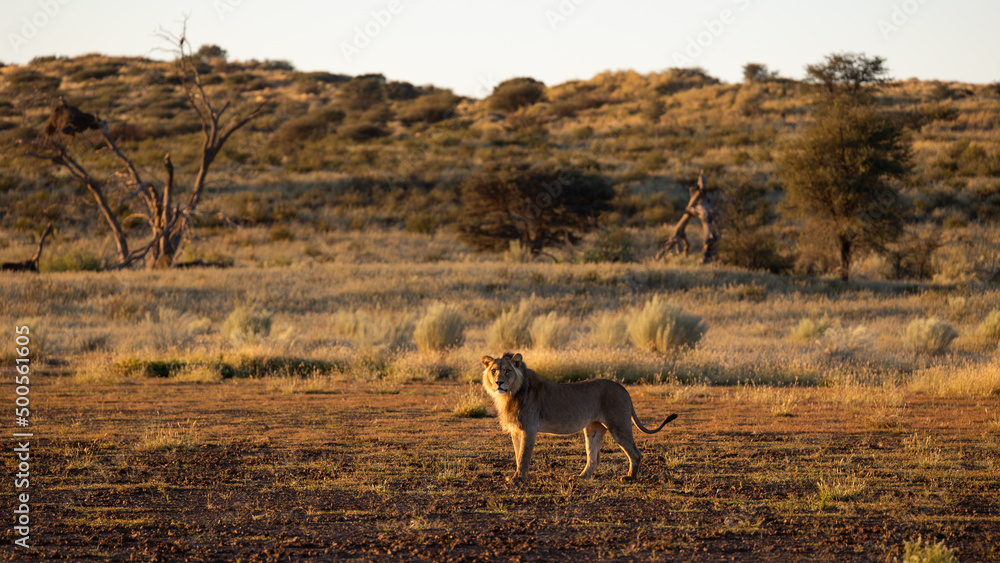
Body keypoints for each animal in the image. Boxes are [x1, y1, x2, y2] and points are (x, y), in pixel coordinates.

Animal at [481, 352, 677, 482]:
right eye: (494, 371)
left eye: (508, 371)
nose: (499, 382)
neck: (510, 395)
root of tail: (622, 388)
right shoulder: (516, 430)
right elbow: (517, 454)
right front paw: (519, 476)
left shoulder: (529, 428)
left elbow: (524, 455)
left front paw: (518, 479)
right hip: (593, 428)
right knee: (594, 458)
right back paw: (581, 477)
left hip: (619, 426)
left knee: (635, 453)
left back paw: (629, 477)